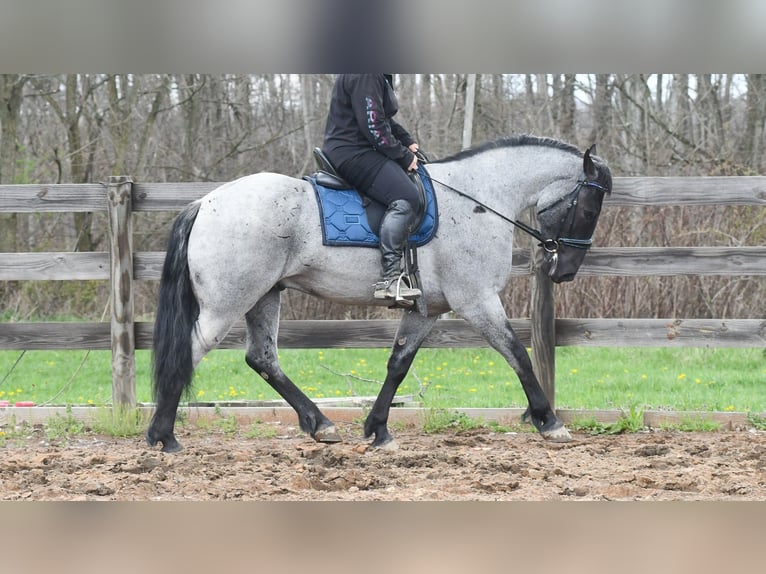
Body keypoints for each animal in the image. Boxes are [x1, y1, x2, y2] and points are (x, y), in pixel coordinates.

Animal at [146, 134, 612, 453]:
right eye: (589, 208)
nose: (566, 271)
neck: (479, 199)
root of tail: (207, 202)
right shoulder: (476, 300)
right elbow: (517, 354)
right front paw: (549, 421)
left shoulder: (427, 309)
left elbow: (398, 364)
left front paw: (378, 429)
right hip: (227, 303)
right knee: (189, 353)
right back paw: (163, 436)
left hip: (264, 295)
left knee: (262, 358)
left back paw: (320, 424)